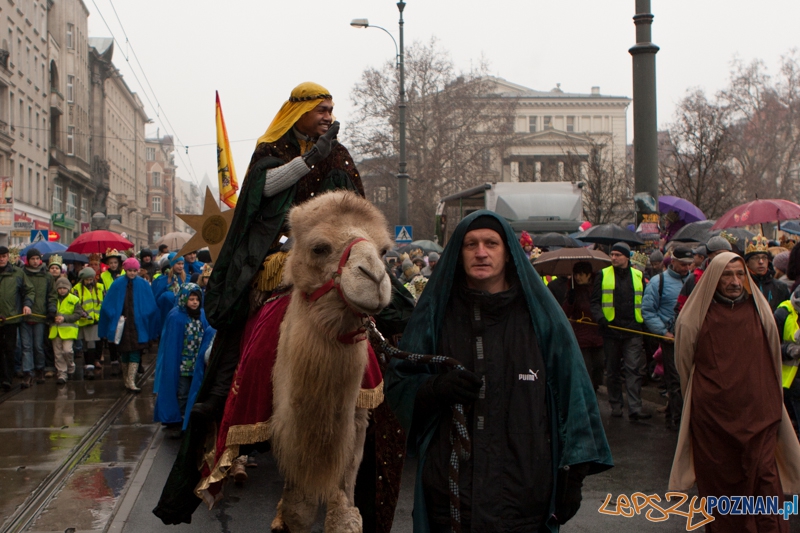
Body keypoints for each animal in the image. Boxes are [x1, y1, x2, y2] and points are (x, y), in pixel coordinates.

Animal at [268, 189, 394, 528]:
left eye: (384, 251)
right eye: (319, 247)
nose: (374, 277)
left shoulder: (358, 419)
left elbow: (343, 512)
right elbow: (298, 512)